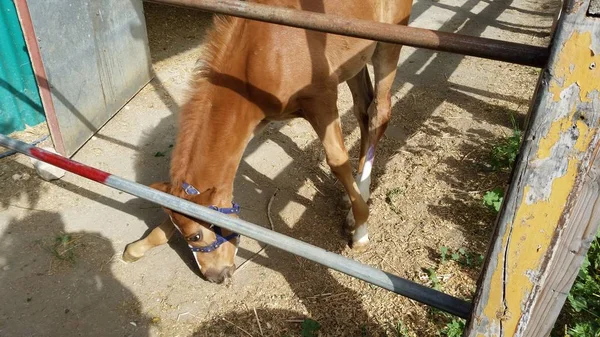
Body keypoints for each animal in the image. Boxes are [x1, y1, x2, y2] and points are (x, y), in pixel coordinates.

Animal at [122, 0, 412, 282]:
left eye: (196, 235)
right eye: (182, 233)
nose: (215, 276)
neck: (263, 56)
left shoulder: (322, 101)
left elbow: (337, 161)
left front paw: (361, 230)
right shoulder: (257, 120)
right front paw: (138, 246)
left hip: (386, 47)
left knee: (378, 113)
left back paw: (356, 208)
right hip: (356, 61)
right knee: (363, 110)